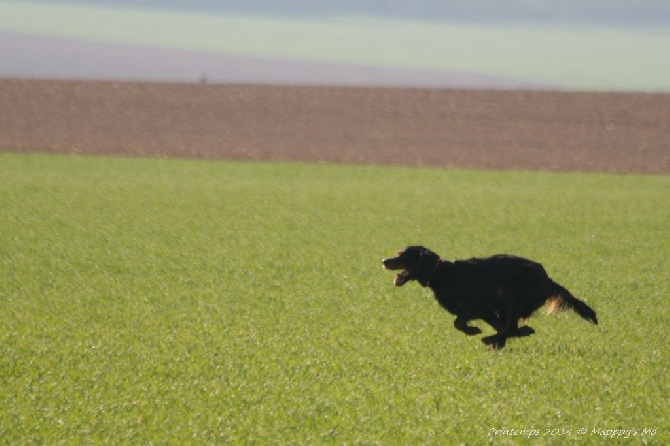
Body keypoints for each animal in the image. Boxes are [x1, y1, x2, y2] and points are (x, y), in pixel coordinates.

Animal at [384, 247, 600, 348]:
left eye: (403, 255)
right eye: (398, 252)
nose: (384, 260)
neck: (442, 273)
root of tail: (547, 279)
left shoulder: (481, 306)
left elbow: (458, 322)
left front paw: (473, 330)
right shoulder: (487, 311)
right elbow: (498, 326)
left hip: (514, 298)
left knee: (510, 327)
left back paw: (491, 340)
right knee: (508, 327)